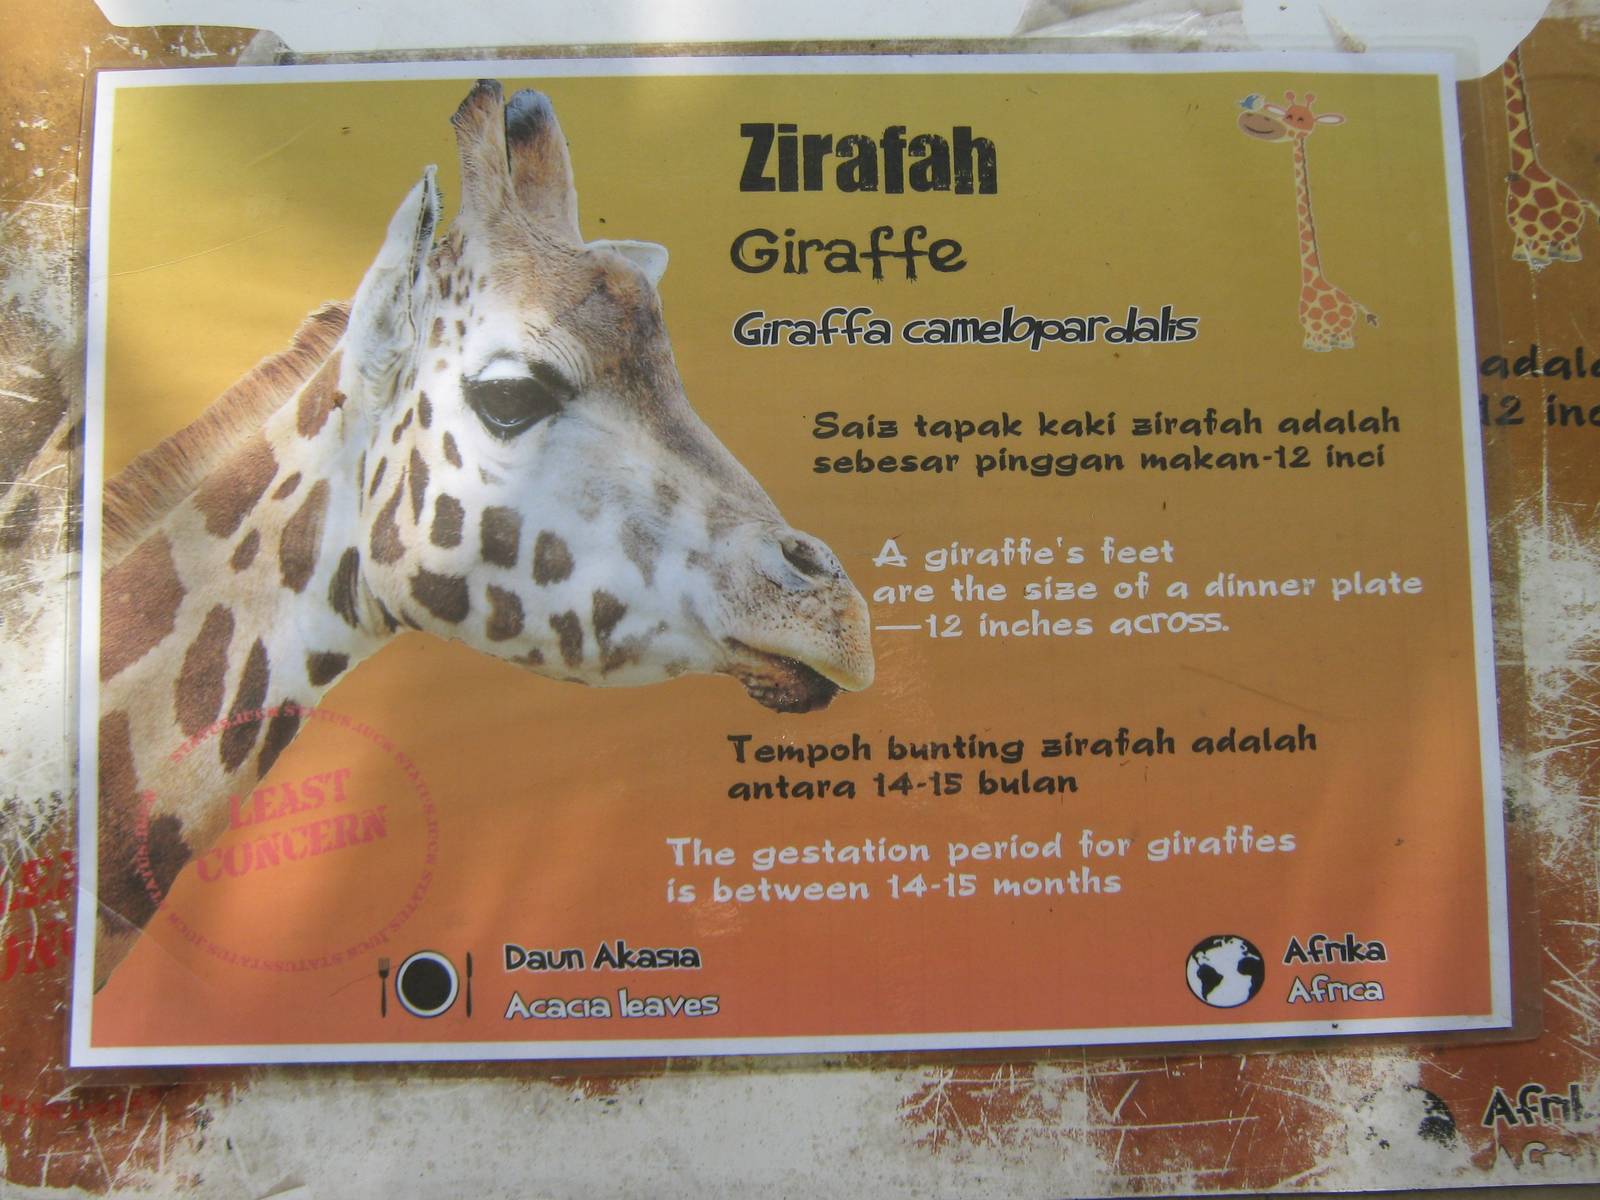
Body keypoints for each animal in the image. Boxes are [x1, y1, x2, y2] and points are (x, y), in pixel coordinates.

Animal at [1237, 91, 1378, 352]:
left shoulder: (1318, 330)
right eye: (1286, 114)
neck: (1313, 282)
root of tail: (1352, 302)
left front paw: (1321, 349)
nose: (1253, 118)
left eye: (1301, 119)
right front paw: (1314, 348)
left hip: (1346, 328)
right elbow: (1312, 340)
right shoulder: (1310, 331)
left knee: (1345, 336)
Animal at [1501, 46, 1598, 270]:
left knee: (1569, 245)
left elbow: (1537, 255)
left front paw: (1538, 262)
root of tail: (1581, 203)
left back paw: (1568, 257)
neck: (1524, 168)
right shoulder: (1521, 233)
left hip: (1568, 234)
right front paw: (1520, 257)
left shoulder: (1537, 236)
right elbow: (1520, 247)